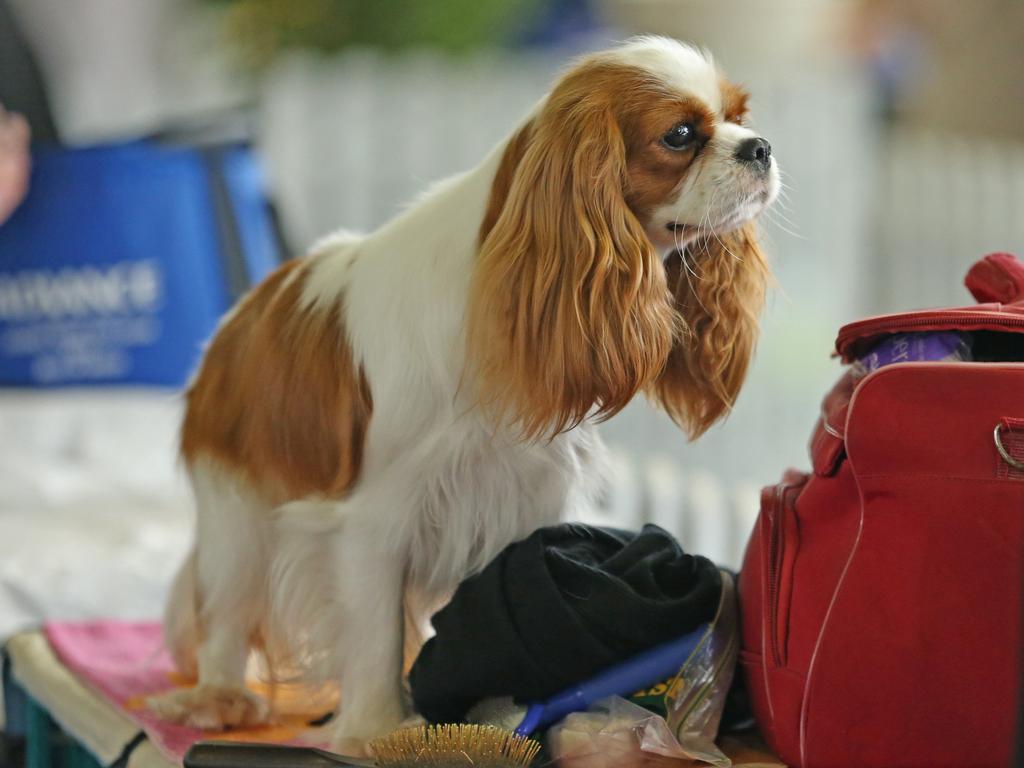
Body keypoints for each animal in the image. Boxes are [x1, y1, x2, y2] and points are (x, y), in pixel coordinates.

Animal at [148, 36, 778, 753]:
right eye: (679, 136)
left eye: (739, 116)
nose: (760, 146)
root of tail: (239, 321)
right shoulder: (374, 519)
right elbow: (374, 634)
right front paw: (374, 731)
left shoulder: (529, 498)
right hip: (239, 514)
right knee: (227, 609)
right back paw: (218, 697)